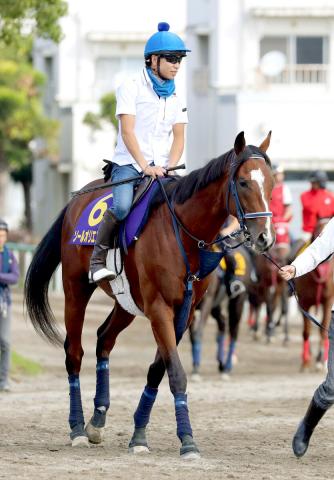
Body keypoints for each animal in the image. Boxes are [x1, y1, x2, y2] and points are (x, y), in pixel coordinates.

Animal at [189, 248, 252, 378]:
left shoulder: (207, 303)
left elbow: (198, 332)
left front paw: (196, 368)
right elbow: (192, 336)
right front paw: (195, 365)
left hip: (237, 302)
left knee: (233, 331)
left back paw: (227, 366)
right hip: (216, 307)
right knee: (222, 323)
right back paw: (221, 363)